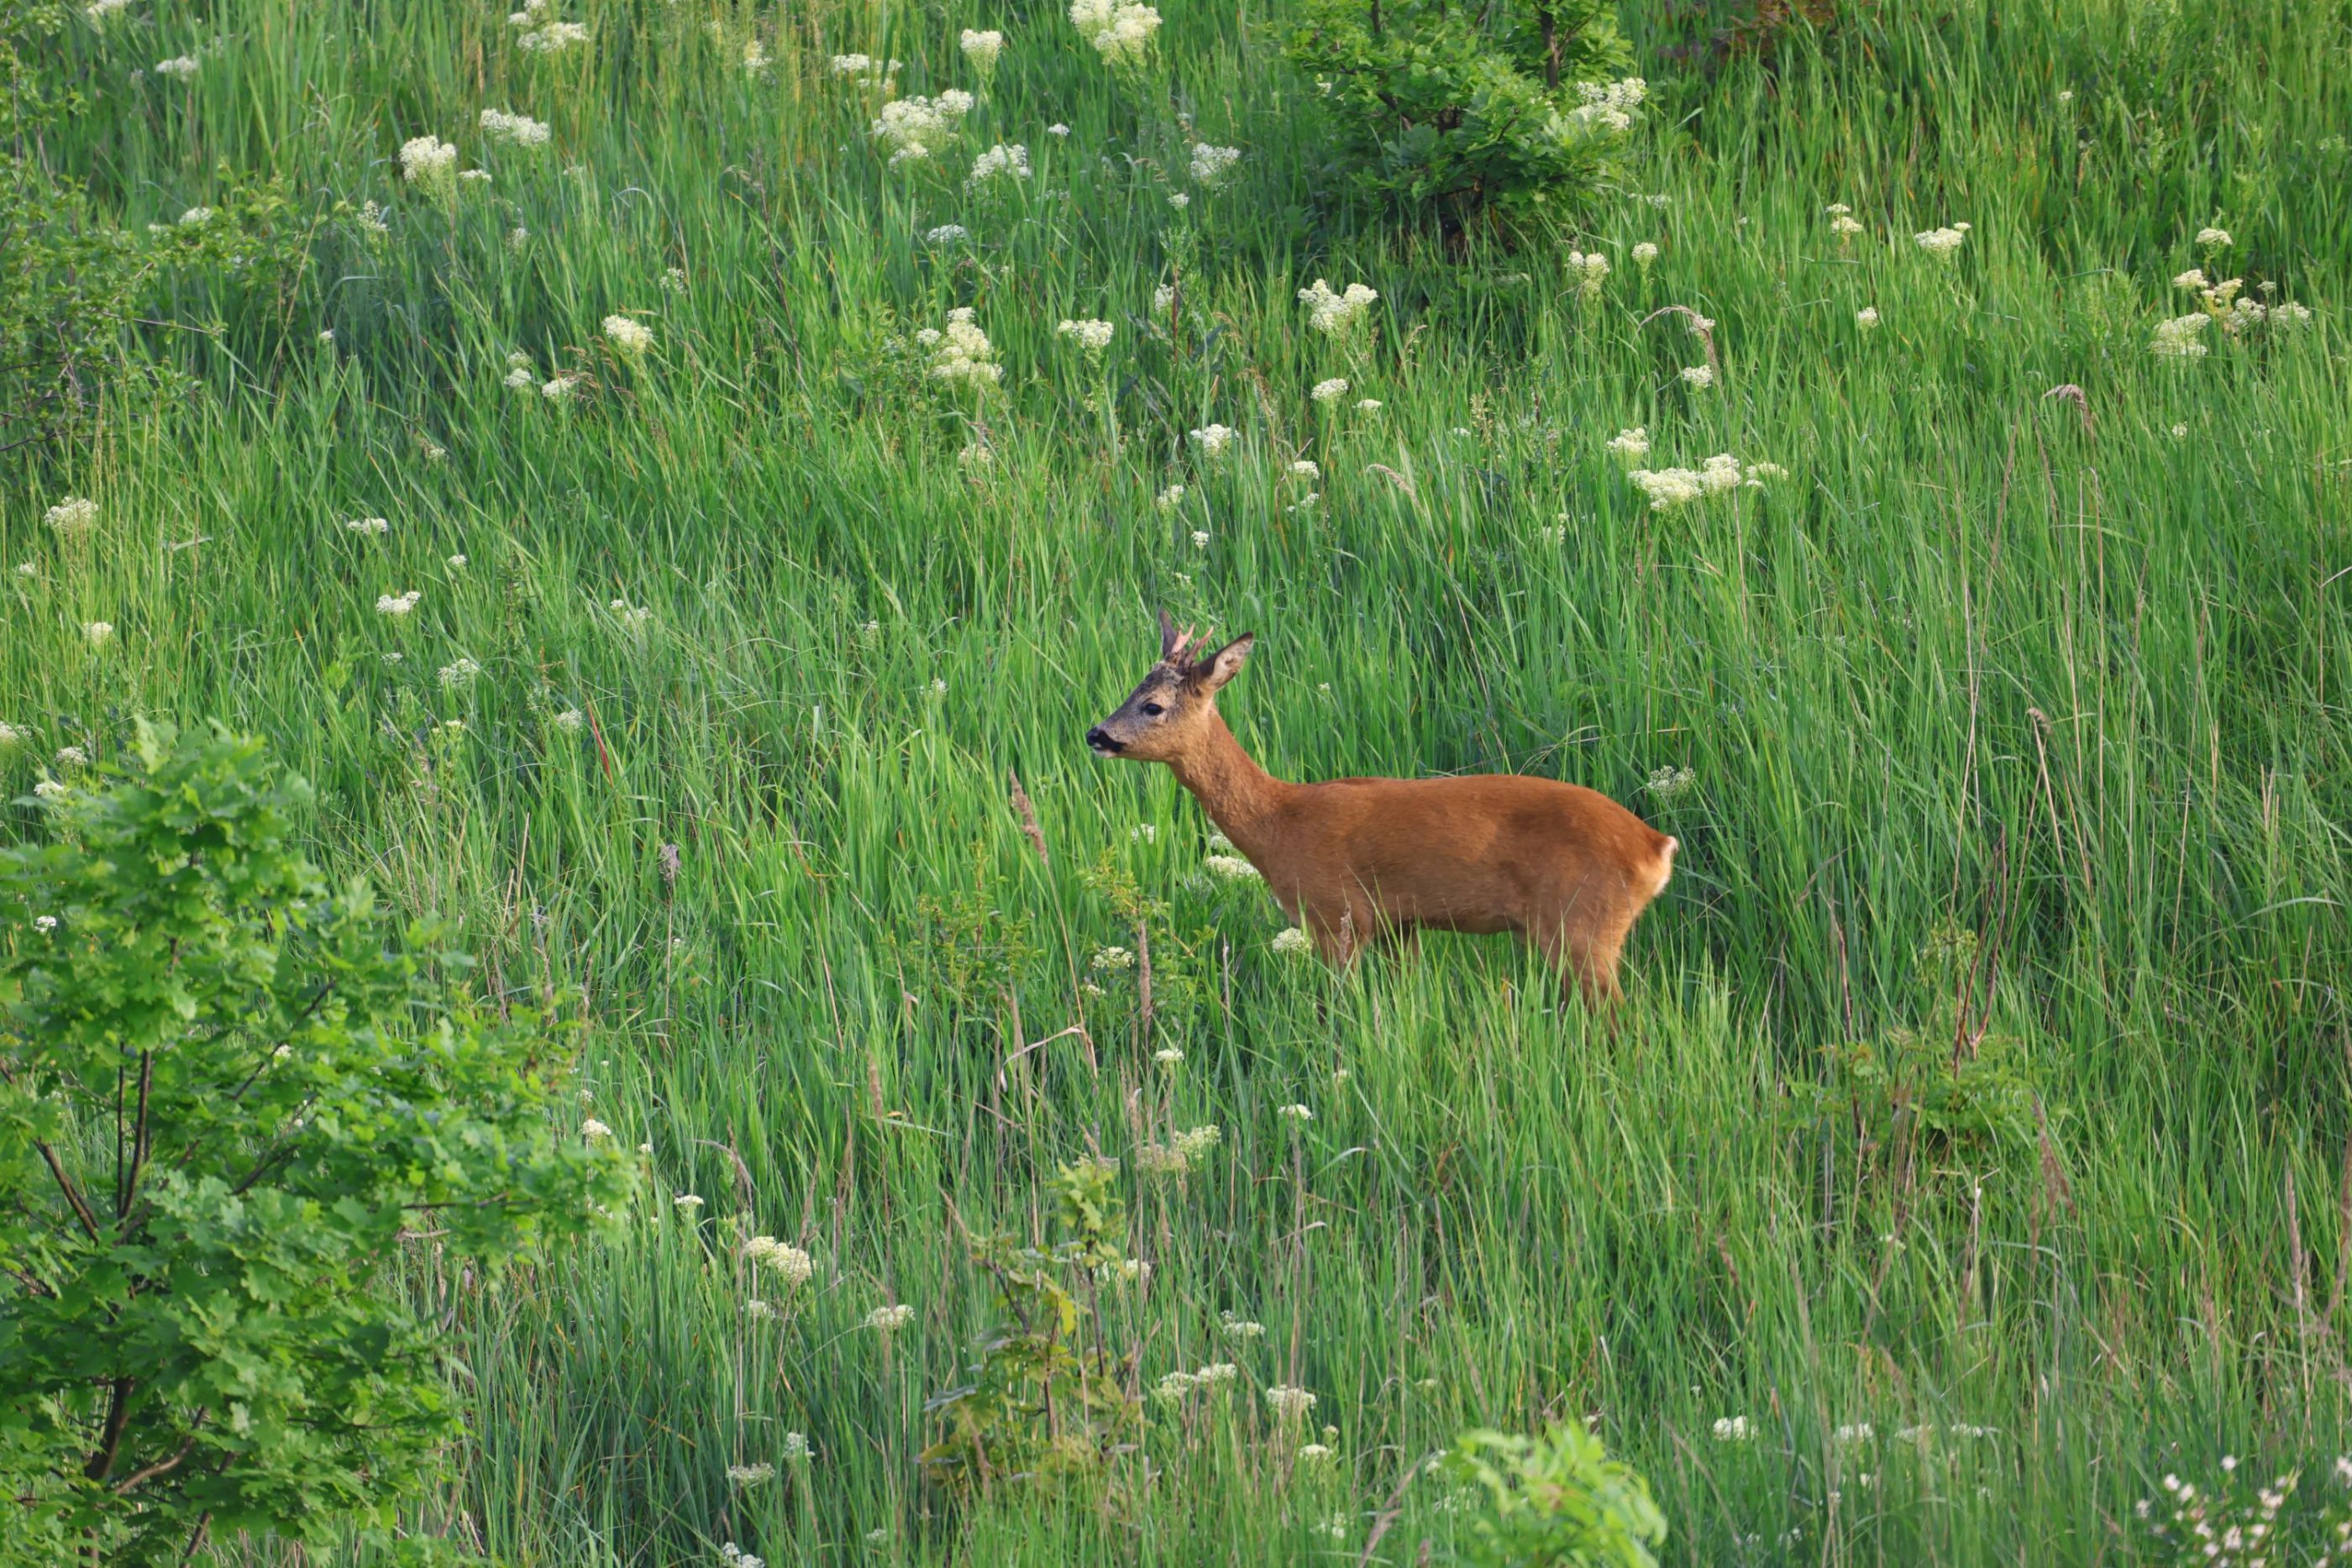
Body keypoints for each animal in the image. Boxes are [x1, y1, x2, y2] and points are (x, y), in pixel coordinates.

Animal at [1082, 611, 1674, 1006]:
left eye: (1153, 705)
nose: (1096, 734)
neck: (1279, 824)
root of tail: (1655, 847)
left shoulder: (1336, 914)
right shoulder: (1398, 925)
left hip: (1582, 925)